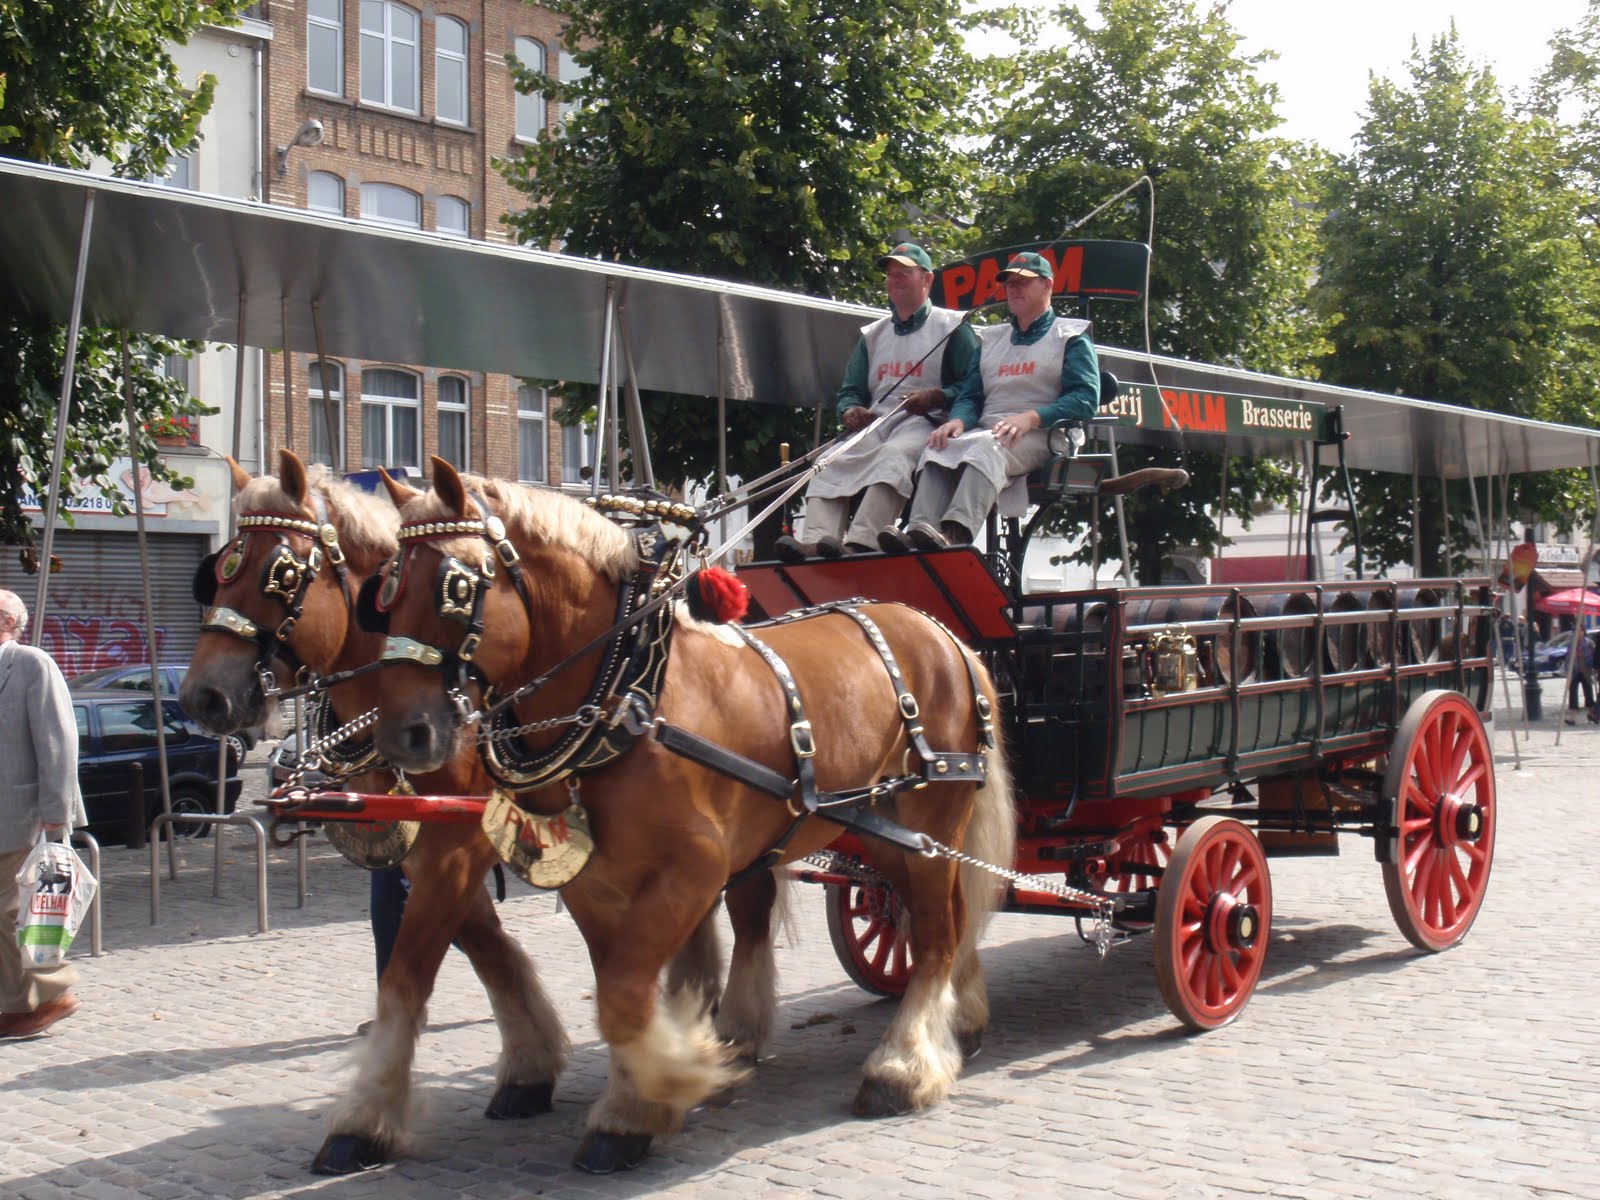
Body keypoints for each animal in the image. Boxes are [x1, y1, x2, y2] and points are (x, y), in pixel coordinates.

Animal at [180, 451, 576, 1177]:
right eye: (221, 568)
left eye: (282, 573)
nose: (203, 697)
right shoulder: (433, 845)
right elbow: (488, 951)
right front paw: (531, 1067)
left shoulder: (460, 844)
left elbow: (409, 969)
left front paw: (364, 1120)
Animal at [368, 460, 1011, 1177]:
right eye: (386, 589)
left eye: (455, 586)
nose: (403, 734)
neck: (630, 693)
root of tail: (941, 633)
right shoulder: (592, 881)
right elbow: (619, 991)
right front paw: (647, 1097)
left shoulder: (696, 870)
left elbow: (625, 997)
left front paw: (674, 1079)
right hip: (885, 831)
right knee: (946, 918)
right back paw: (962, 1021)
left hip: (931, 818)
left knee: (935, 934)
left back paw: (902, 1067)